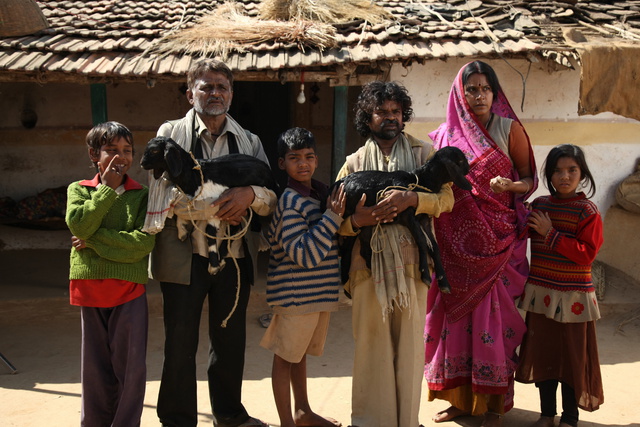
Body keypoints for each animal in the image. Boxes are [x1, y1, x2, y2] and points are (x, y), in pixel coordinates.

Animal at [142, 138, 278, 278]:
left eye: (154, 150)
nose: (142, 163)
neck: (193, 174)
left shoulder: (215, 208)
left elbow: (210, 233)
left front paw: (213, 267)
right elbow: (182, 211)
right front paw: (182, 232)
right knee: (235, 228)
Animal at [332, 146, 472, 294]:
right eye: (460, 160)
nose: (468, 169)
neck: (420, 182)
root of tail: (336, 185)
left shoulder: (424, 218)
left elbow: (434, 246)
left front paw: (443, 281)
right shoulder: (408, 216)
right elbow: (422, 241)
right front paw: (425, 275)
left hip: (365, 224)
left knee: (358, 248)